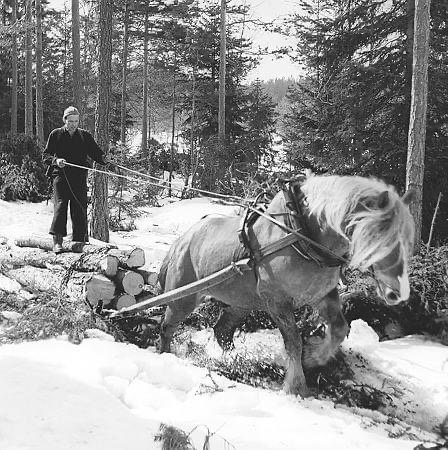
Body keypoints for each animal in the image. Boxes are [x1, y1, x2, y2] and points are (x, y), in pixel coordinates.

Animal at [157, 174, 412, 396]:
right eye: (378, 237)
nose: (397, 293)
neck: (302, 234)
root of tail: (182, 240)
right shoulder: (277, 302)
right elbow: (294, 342)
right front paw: (295, 385)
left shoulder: (323, 295)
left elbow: (339, 329)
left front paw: (313, 358)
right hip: (184, 298)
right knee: (167, 327)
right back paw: (164, 356)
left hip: (240, 304)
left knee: (222, 331)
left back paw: (231, 361)